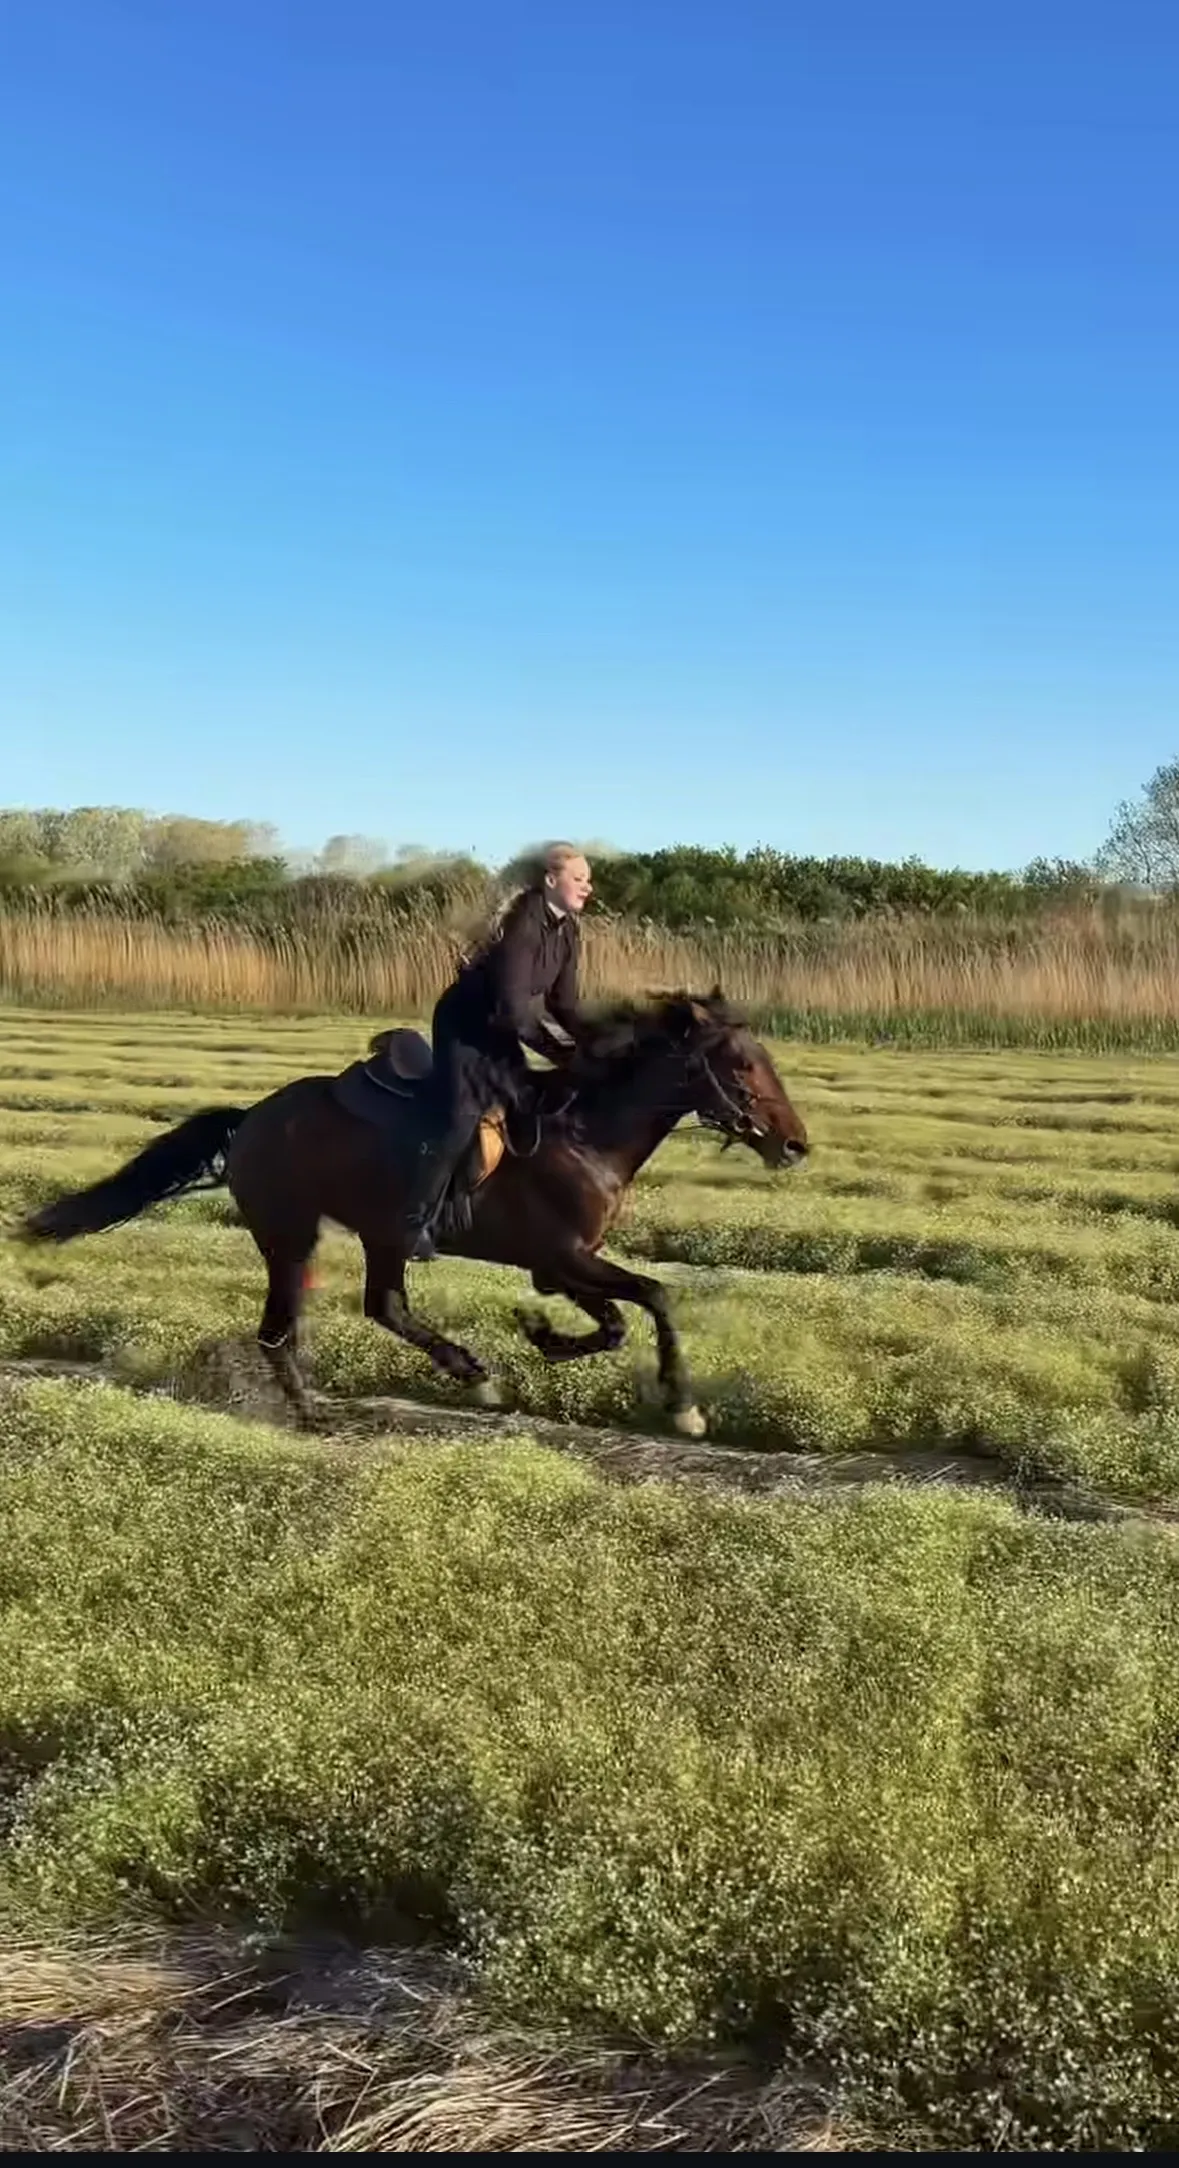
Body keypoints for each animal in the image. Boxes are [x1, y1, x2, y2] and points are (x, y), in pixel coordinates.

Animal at [17, 990, 808, 1437]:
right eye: (741, 1063)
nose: (796, 1144)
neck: (586, 1133)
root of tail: (249, 1119)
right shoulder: (563, 1255)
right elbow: (657, 1294)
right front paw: (684, 1406)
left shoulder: (558, 1264)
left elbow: (613, 1322)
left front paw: (542, 1335)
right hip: (302, 1235)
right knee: (296, 1327)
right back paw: (350, 1405)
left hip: (370, 1234)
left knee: (374, 1309)